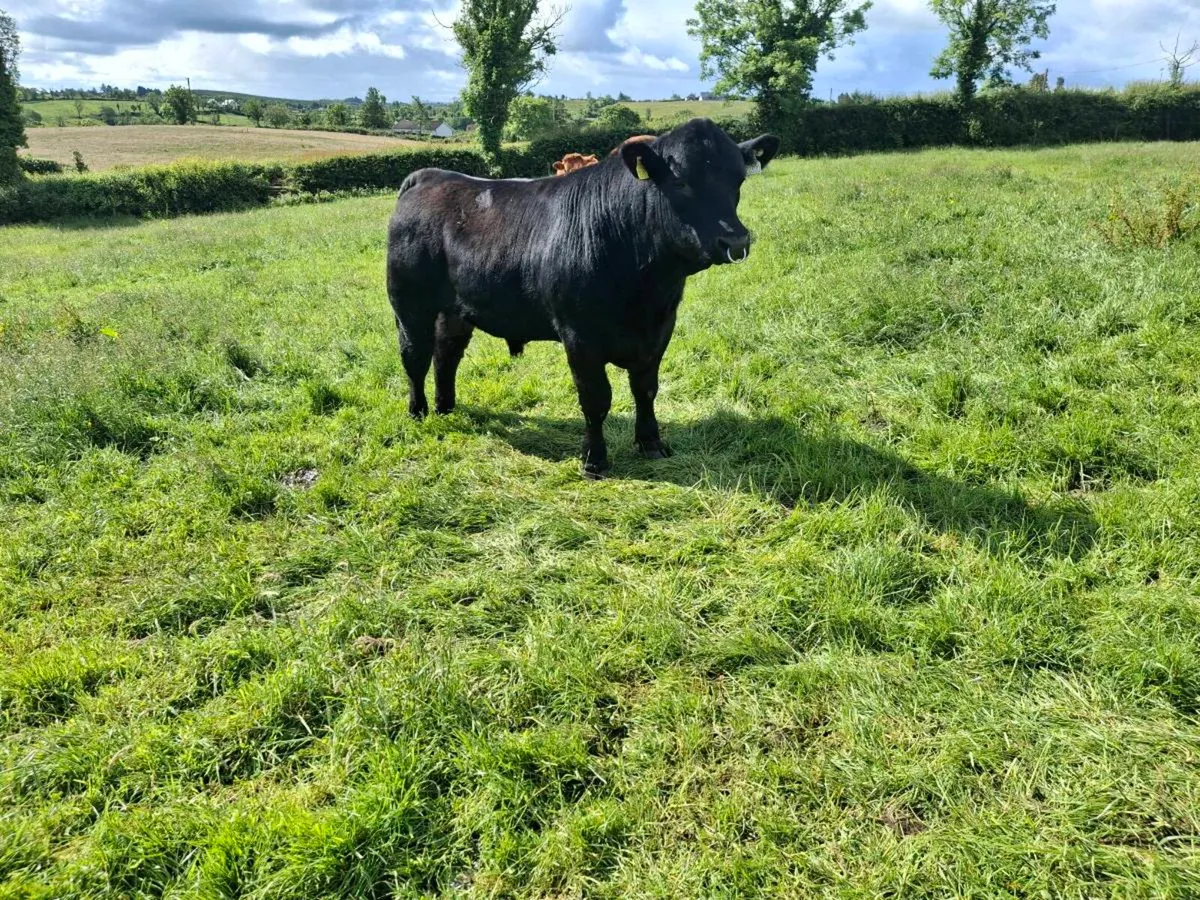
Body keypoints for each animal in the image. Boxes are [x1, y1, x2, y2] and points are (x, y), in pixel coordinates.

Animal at [386, 117, 780, 477]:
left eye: (738, 180)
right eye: (681, 181)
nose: (735, 241)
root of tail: (429, 175)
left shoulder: (661, 327)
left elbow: (645, 389)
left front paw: (651, 443)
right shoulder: (579, 336)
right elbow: (595, 398)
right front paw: (594, 460)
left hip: (454, 312)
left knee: (446, 355)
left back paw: (446, 407)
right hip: (409, 306)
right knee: (415, 357)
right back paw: (418, 412)